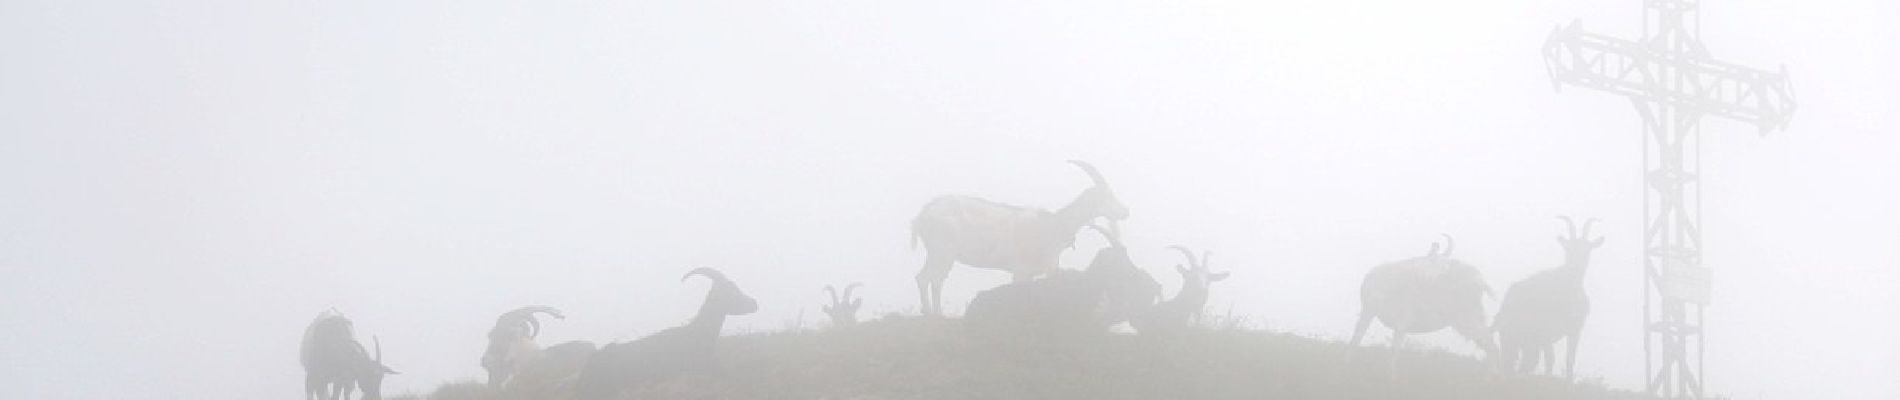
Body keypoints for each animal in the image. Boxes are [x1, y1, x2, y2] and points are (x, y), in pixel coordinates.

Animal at [904, 159, 1124, 314]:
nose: (1126, 211)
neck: (1053, 226)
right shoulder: (1020, 271)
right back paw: (933, 314)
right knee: (929, 278)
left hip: (937, 253)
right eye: (1107, 195)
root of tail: (923, 215)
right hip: (943, 251)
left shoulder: (1036, 273)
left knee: (931, 279)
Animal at [1352, 234, 1497, 371]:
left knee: (1489, 342)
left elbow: (1393, 350)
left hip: (1468, 317)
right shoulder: (1369, 312)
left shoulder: (1400, 320)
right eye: (1434, 259)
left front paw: (1391, 376)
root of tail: (1479, 280)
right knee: (1488, 340)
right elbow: (1356, 339)